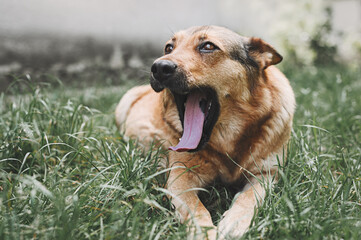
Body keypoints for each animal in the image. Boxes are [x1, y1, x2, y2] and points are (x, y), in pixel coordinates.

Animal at [115, 25, 296, 239]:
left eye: (208, 46)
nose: (159, 67)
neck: (227, 143)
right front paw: (205, 232)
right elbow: (195, 208)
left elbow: (249, 197)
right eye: (169, 48)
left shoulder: (267, 174)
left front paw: (236, 221)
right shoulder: (181, 178)